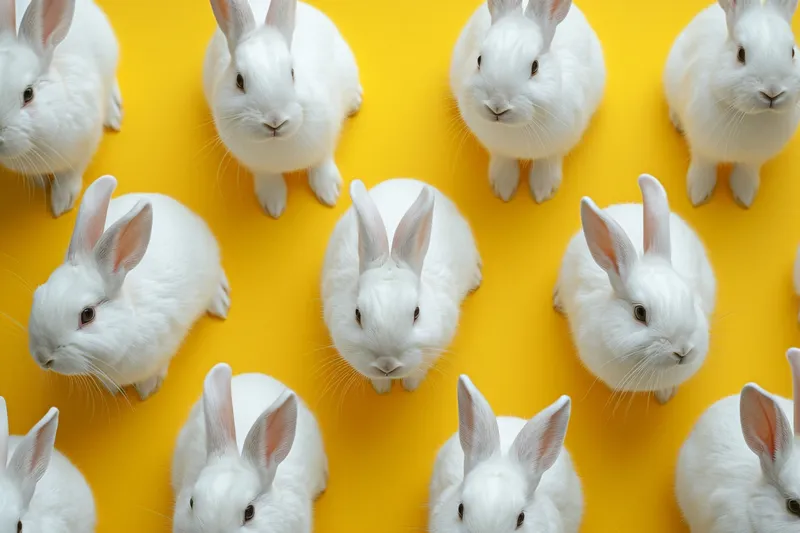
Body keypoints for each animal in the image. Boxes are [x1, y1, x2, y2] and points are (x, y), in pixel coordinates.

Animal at [27, 175, 231, 401]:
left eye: (87, 315)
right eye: (39, 293)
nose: (42, 357)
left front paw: (147, 388)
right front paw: (111, 387)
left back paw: (220, 301)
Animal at [203, 0, 362, 219]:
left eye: (292, 73)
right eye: (239, 80)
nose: (275, 121)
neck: (277, 144)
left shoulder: (327, 138)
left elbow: (322, 161)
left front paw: (329, 192)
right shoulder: (258, 165)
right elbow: (268, 177)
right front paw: (274, 205)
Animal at [321, 179, 482, 394]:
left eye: (417, 313)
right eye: (357, 314)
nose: (387, 365)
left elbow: (418, 371)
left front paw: (410, 386)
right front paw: (381, 388)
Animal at [450, 0, 604, 204]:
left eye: (535, 67)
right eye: (479, 60)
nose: (497, 106)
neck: (517, 128)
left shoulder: (562, 142)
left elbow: (547, 160)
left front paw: (543, 191)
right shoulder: (498, 148)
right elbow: (503, 158)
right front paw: (503, 187)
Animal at [664, 0, 800, 208]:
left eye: (792, 52)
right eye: (741, 54)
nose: (772, 92)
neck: (750, 115)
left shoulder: (754, 159)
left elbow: (746, 171)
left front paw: (744, 196)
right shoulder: (702, 147)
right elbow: (703, 166)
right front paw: (698, 194)